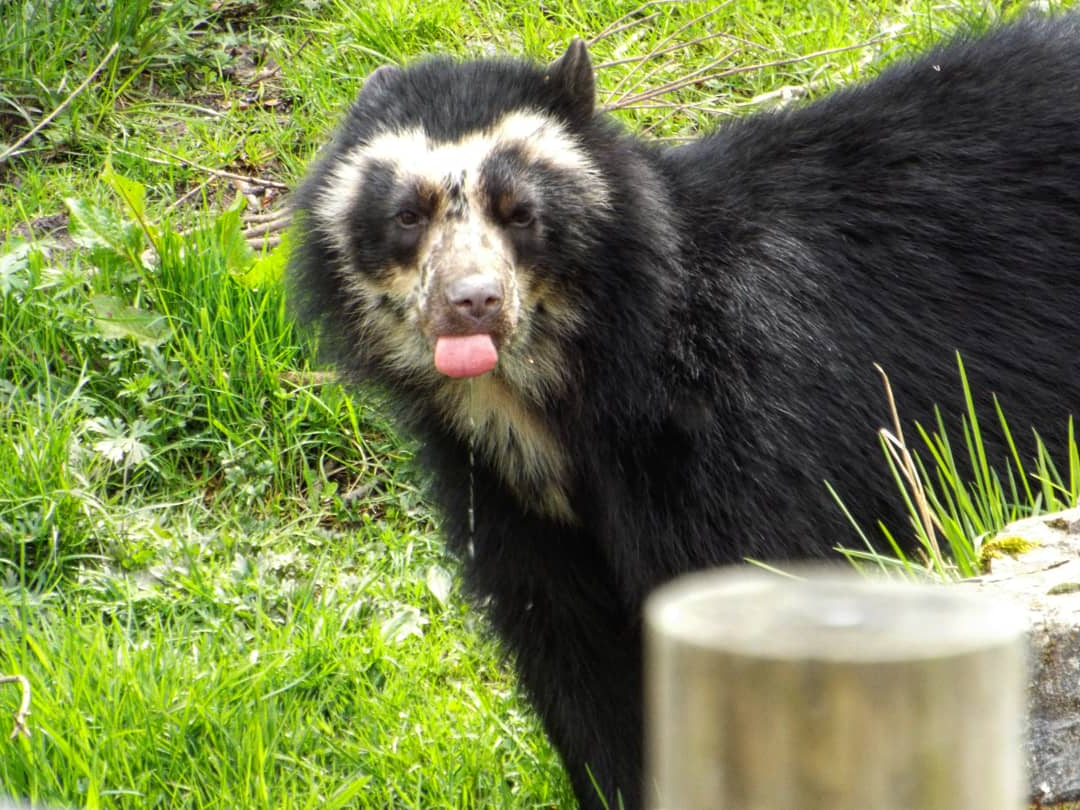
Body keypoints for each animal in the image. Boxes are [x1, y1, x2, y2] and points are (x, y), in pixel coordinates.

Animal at [288, 16, 1080, 810]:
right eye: (406, 215)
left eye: (522, 214)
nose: (472, 302)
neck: (548, 392)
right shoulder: (505, 495)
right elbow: (576, 657)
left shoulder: (743, 425)